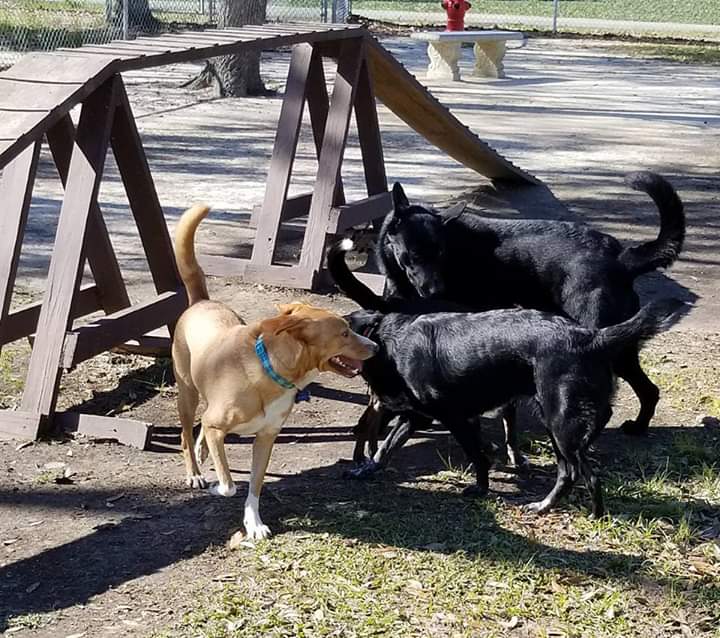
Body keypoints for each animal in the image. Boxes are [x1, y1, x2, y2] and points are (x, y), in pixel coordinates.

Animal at [346, 298, 684, 516]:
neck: (388, 343)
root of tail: (592, 337)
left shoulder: (455, 418)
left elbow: (477, 457)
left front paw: (480, 489)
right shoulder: (417, 417)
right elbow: (385, 447)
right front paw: (366, 468)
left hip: (561, 424)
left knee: (586, 475)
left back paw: (594, 515)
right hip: (555, 424)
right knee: (569, 471)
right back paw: (547, 506)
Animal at [376, 172, 688, 438]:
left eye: (440, 253)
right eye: (415, 254)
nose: (434, 291)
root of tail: (622, 261)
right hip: (622, 350)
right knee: (649, 390)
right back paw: (638, 427)